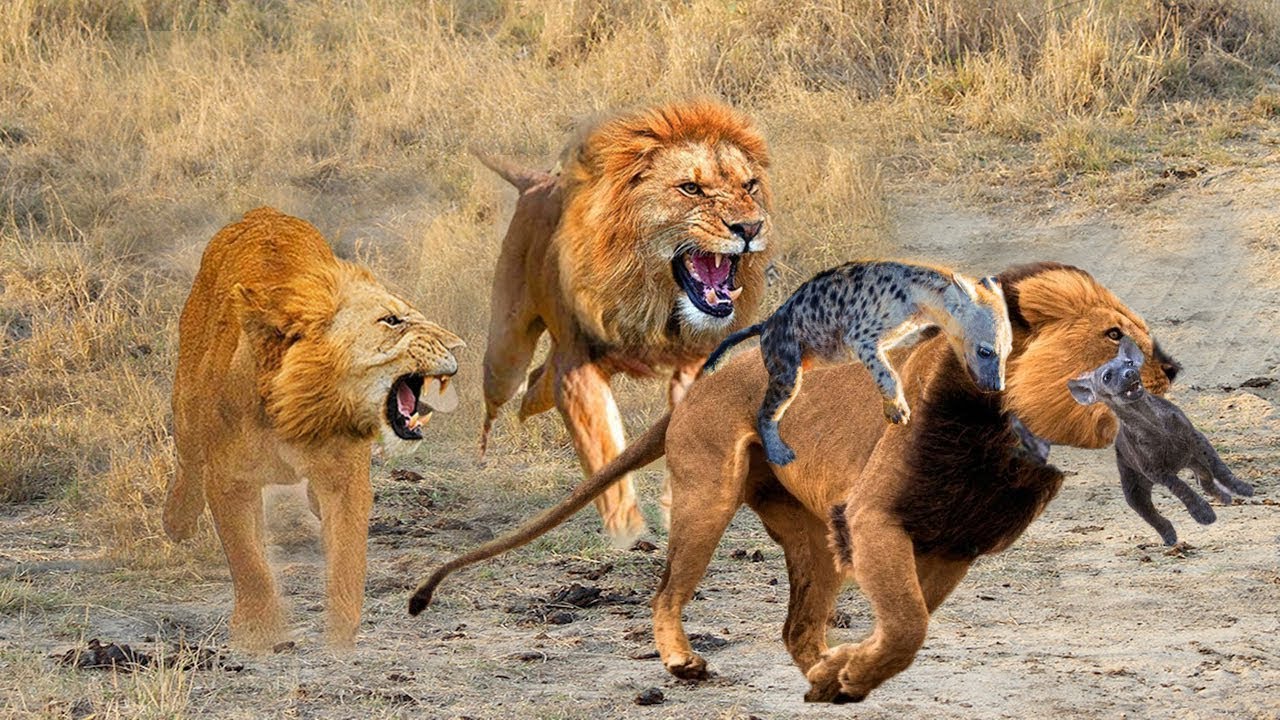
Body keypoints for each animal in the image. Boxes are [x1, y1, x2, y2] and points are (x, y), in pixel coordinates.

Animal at [164, 207, 464, 649]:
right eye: (392, 321)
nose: (459, 345)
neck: (298, 413)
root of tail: (263, 213)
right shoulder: (230, 480)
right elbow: (248, 561)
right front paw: (259, 632)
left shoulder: (345, 481)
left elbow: (347, 559)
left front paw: (341, 633)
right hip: (186, 402)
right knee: (187, 460)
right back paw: (177, 521)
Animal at [408, 263, 1184, 702]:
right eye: (1114, 334)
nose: (1171, 368)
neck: (998, 439)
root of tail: (694, 392)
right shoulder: (875, 519)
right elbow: (907, 624)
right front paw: (853, 673)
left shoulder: (951, 547)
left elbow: (908, 625)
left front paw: (849, 673)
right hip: (709, 498)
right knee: (666, 591)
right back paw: (683, 662)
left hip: (813, 535)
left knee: (795, 625)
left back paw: (820, 670)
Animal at [476, 99, 774, 541]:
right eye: (691, 189)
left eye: (750, 185)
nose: (751, 228)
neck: (653, 304)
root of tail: (536, 183)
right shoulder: (578, 370)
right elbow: (604, 449)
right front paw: (626, 530)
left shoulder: (693, 365)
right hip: (507, 349)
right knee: (508, 383)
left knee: (537, 382)